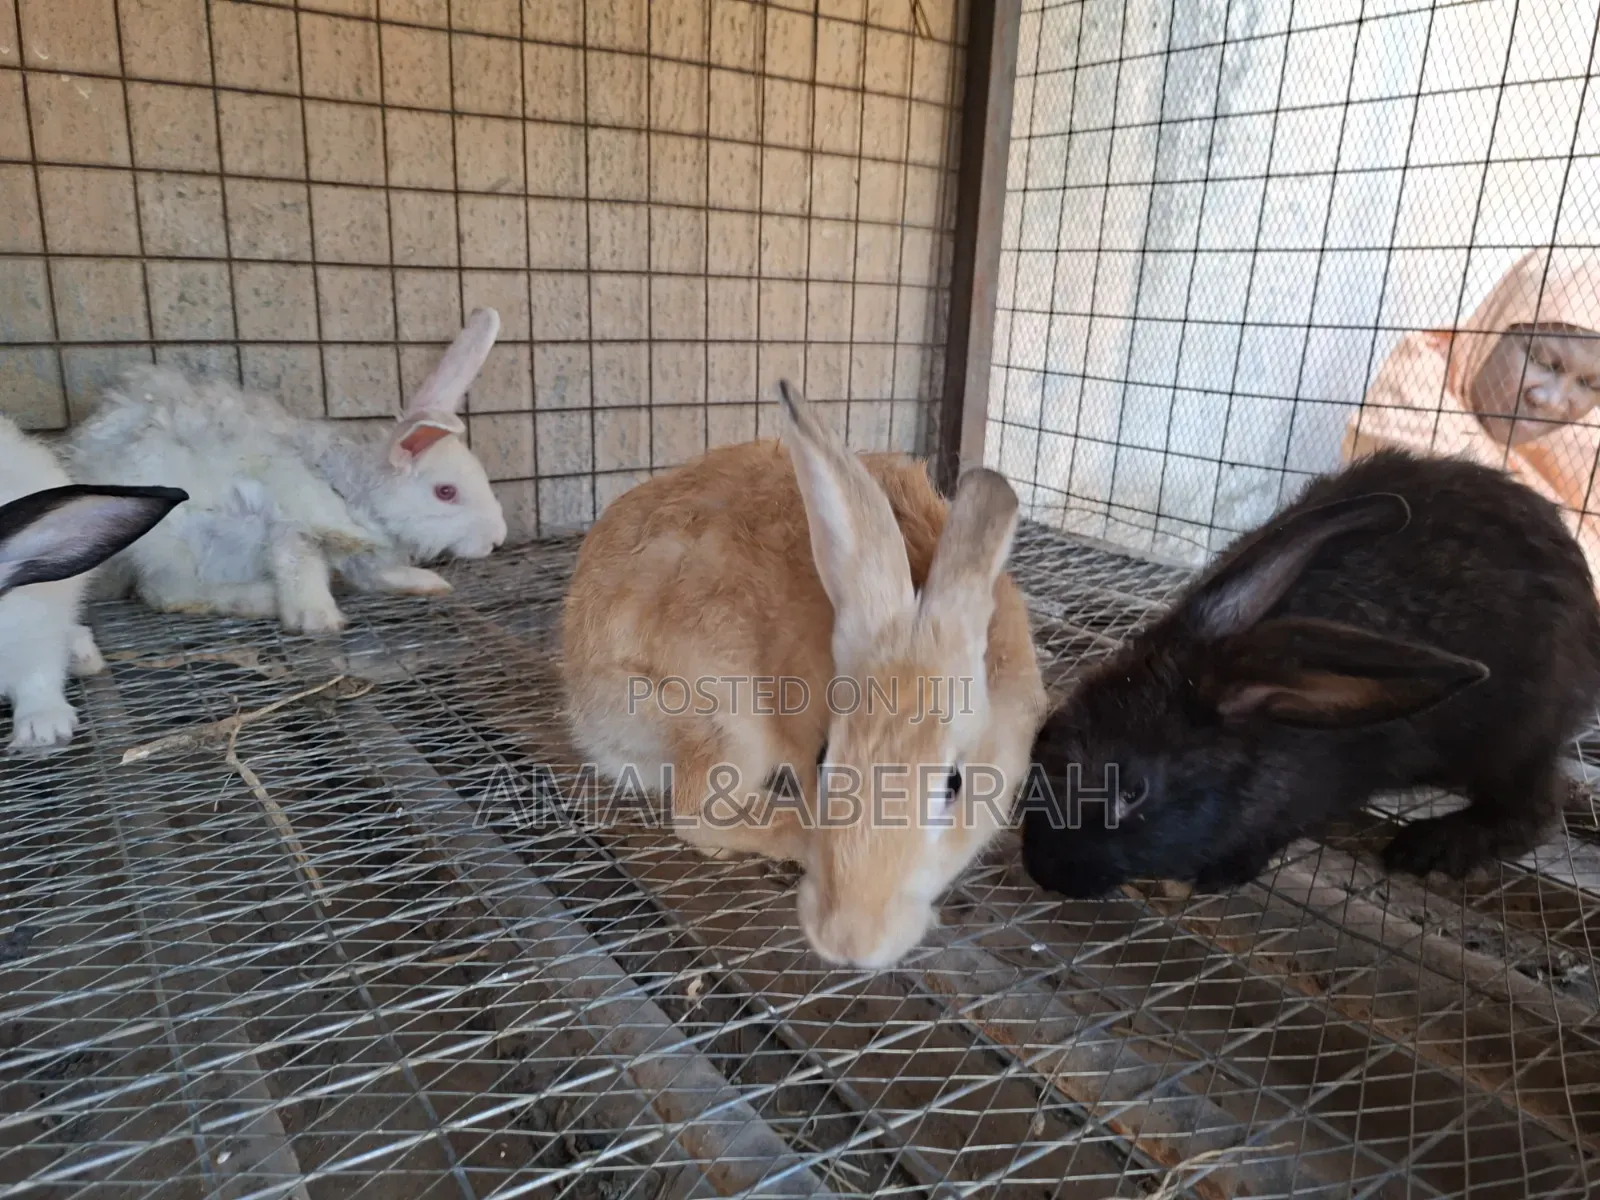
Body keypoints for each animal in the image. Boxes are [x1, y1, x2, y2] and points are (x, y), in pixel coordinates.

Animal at [66, 308, 509, 635]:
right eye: (446, 492)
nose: (498, 541)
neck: (348, 489)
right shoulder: (289, 526)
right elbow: (301, 572)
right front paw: (319, 621)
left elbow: (376, 575)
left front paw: (427, 583)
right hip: (177, 542)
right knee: (167, 592)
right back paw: (260, 599)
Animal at [562, 381, 1048, 970]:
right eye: (823, 759)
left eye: (954, 785)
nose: (848, 941)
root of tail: (586, 702)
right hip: (725, 724)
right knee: (697, 815)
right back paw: (792, 833)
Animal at [1020, 448, 1600, 900]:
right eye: (1045, 735)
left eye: (1134, 792)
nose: (1044, 871)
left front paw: (1220, 872)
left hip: (1510, 739)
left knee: (1537, 806)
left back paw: (1432, 846)